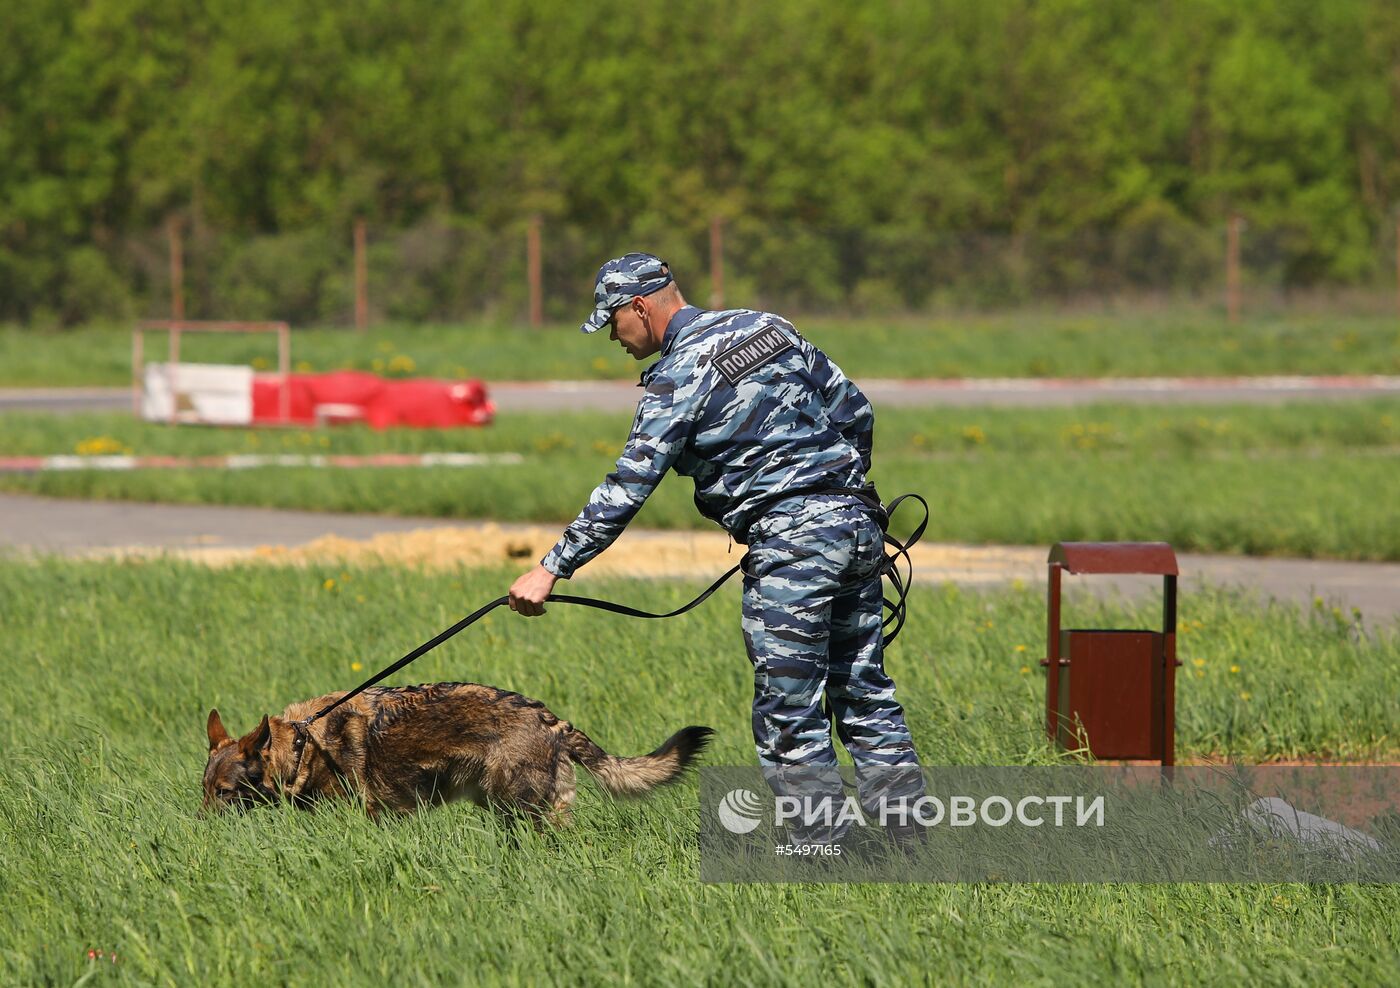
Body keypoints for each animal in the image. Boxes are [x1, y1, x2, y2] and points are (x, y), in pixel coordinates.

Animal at [203, 677, 716, 822]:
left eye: (226, 793)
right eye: (205, 791)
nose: (199, 827)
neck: (303, 742)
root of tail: (553, 720)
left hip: (517, 808)